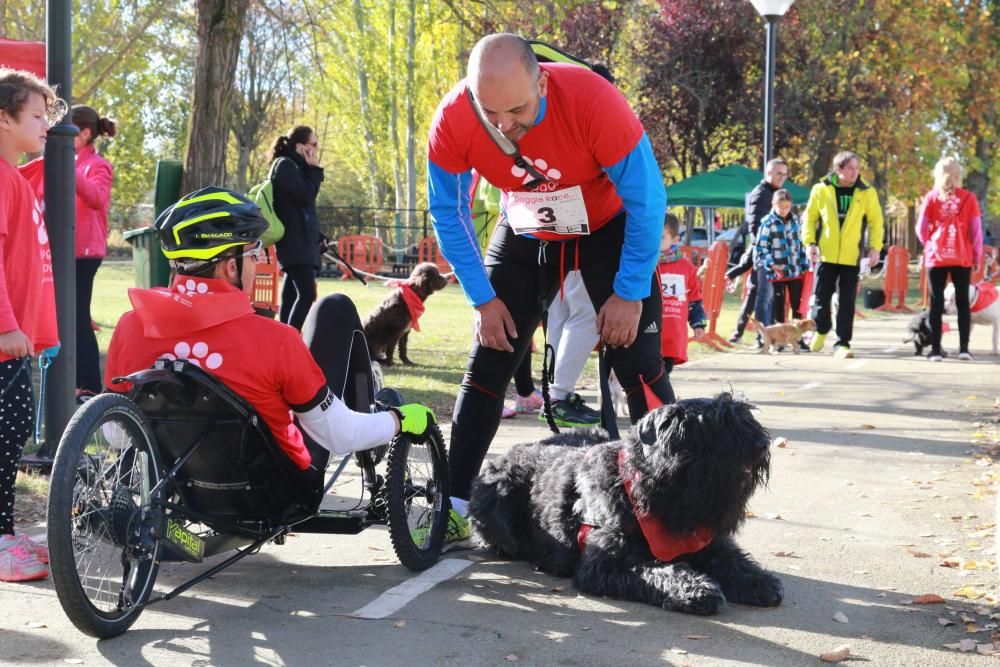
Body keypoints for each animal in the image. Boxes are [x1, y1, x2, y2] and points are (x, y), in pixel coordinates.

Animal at [468, 394, 780, 620]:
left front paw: (756, 580)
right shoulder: (602, 565)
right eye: (716, 423)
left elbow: (732, 560)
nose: (762, 443)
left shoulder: (708, 543)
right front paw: (695, 588)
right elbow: (656, 571)